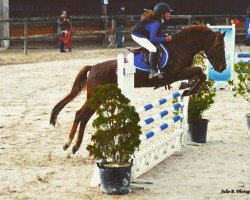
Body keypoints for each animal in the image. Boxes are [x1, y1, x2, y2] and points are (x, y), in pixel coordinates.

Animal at [49, 25, 228, 153]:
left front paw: (187, 87)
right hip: (95, 97)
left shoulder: (181, 72)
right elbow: (199, 71)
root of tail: (93, 68)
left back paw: (75, 146)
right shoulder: (175, 73)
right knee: (79, 114)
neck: (182, 46)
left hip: (99, 98)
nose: (222, 68)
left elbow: (199, 73)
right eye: (219, 47)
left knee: (85, 117)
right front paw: (188, 90)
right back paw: (68, 144)